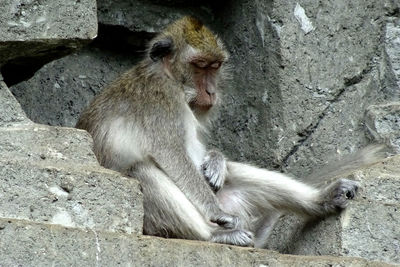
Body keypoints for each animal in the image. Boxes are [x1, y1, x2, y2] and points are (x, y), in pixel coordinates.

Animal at [75, 16, 360, 249]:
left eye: (215, 66)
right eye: (200, 65)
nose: (211, 91)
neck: (171, 80)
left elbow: (204, 155)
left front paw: (215, 160)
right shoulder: (161, 101)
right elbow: (171, 154)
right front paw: (215, 211)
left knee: (237, 174)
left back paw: (323, 199)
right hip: (154, 223)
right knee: (141, 170)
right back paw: (213, 235)